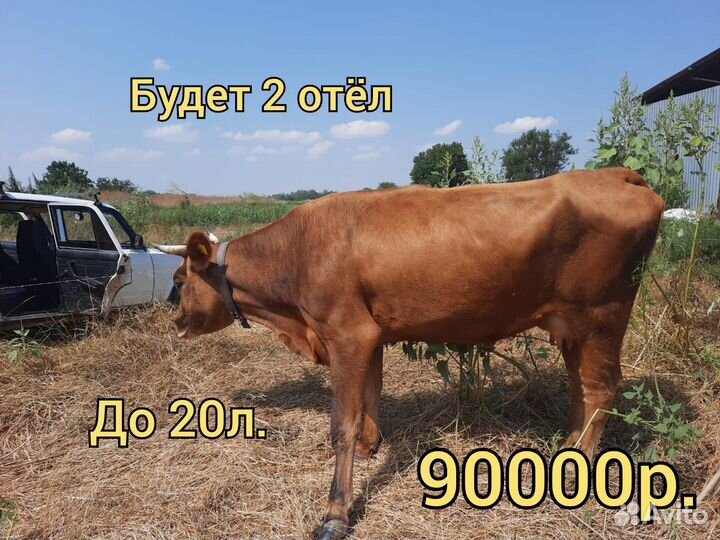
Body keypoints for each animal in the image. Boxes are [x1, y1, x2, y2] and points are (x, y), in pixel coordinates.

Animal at [156, 167, 664, 539]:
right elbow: (369, 397)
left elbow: (341, 423)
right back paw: (565, 452)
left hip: (602, 314)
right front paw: (370, 447)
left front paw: (336, 512)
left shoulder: (347, 332)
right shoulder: (368, 336)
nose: (175, 324)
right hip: (573, 327)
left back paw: (576, 470)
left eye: (179, 281)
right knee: (581, 386)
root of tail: (617, 174)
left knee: (601, 388)